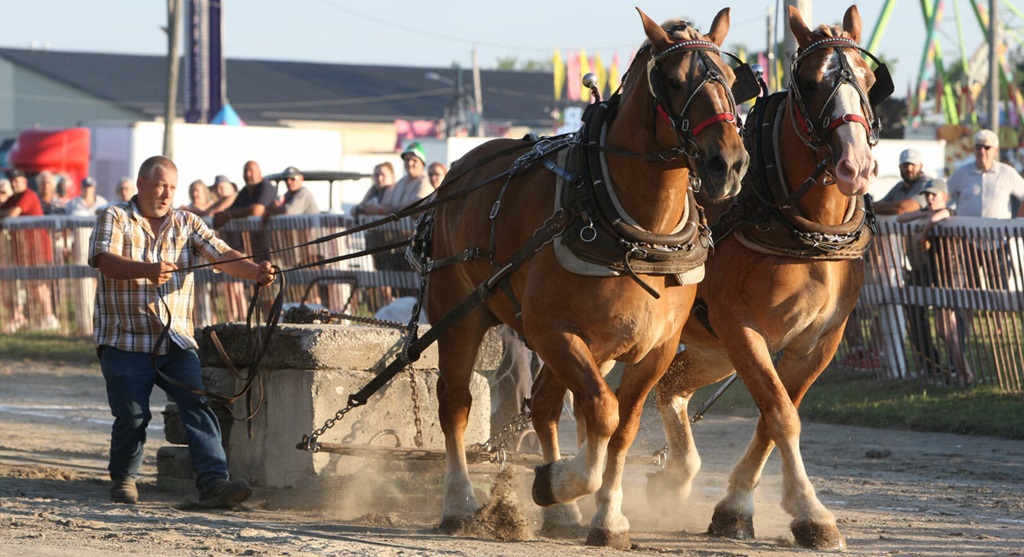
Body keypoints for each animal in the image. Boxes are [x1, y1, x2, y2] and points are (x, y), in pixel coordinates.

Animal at [421, 7, 751, 548]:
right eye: (675, 81)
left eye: (727, 77)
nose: (729, 163)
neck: (632, 228)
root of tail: (461, 168)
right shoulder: (554, 332)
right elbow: (602, 411)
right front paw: (563, 483)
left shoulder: (655, 348)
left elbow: (622, 426)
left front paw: (603, 514)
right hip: (460, 316)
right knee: (456, 404)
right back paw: (460, 502)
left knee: (545, 407)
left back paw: (562, 513)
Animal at [647, 5, 893, 551]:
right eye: (811, 81)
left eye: (868, 81)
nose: (856, 164)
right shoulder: (742, 328)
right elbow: (780, 412)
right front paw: (810, 514)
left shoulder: (818, 342)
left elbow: (774, 413)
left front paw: (737, 505)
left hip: (710, 350)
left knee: (671, 386)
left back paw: (675, 475)